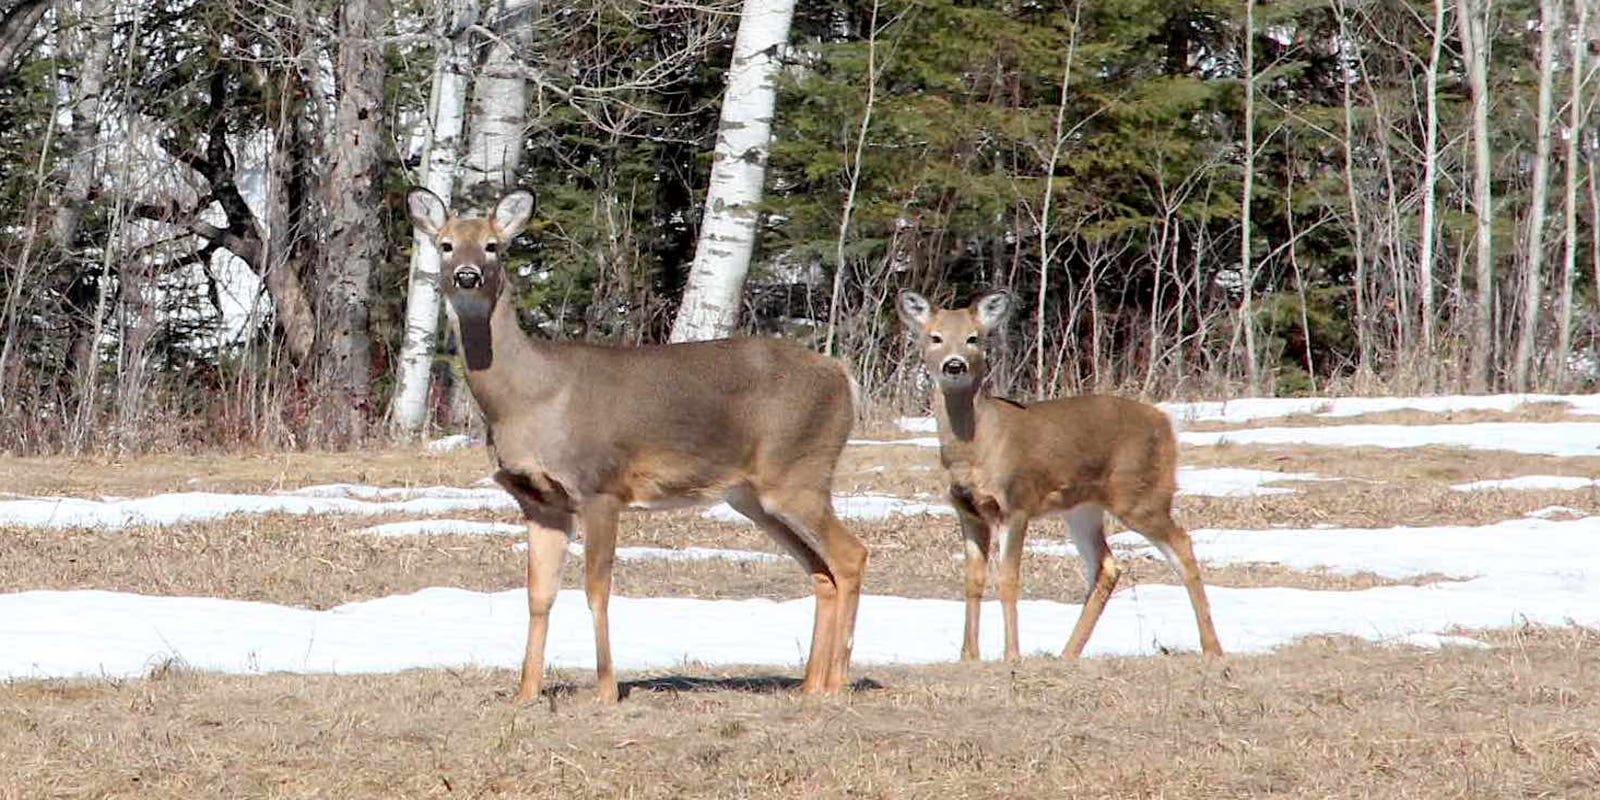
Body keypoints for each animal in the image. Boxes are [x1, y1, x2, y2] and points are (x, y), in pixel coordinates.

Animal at [406, 187, 870, 700]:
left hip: (798, 472)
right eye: (445, 245)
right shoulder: (539, 502)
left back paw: (838, 682)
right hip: (753, 495)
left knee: (851, 556)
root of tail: (844, 376)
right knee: (821, 571)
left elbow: (596, 590)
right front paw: (526, 692)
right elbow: (538, 595)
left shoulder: (599, 486)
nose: (467, 275)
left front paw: (607, 690)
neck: (528, 397)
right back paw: (810, 685)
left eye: (493, 246)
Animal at [896, 291, 1216, 659]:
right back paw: (1068, 653)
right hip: (1082, 508)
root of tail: (1165, 422)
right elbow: (973, 580)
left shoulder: (1016, 502)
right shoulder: (968, 511)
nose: (954, 365)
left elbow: (1007, 579)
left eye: (973, 338)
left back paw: (1212, 648)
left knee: (1182, 545)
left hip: (1142, 494)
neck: (976, 446)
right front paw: (968, 657)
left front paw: (1012, 655)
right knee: (1106, 565)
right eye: (935, 337)